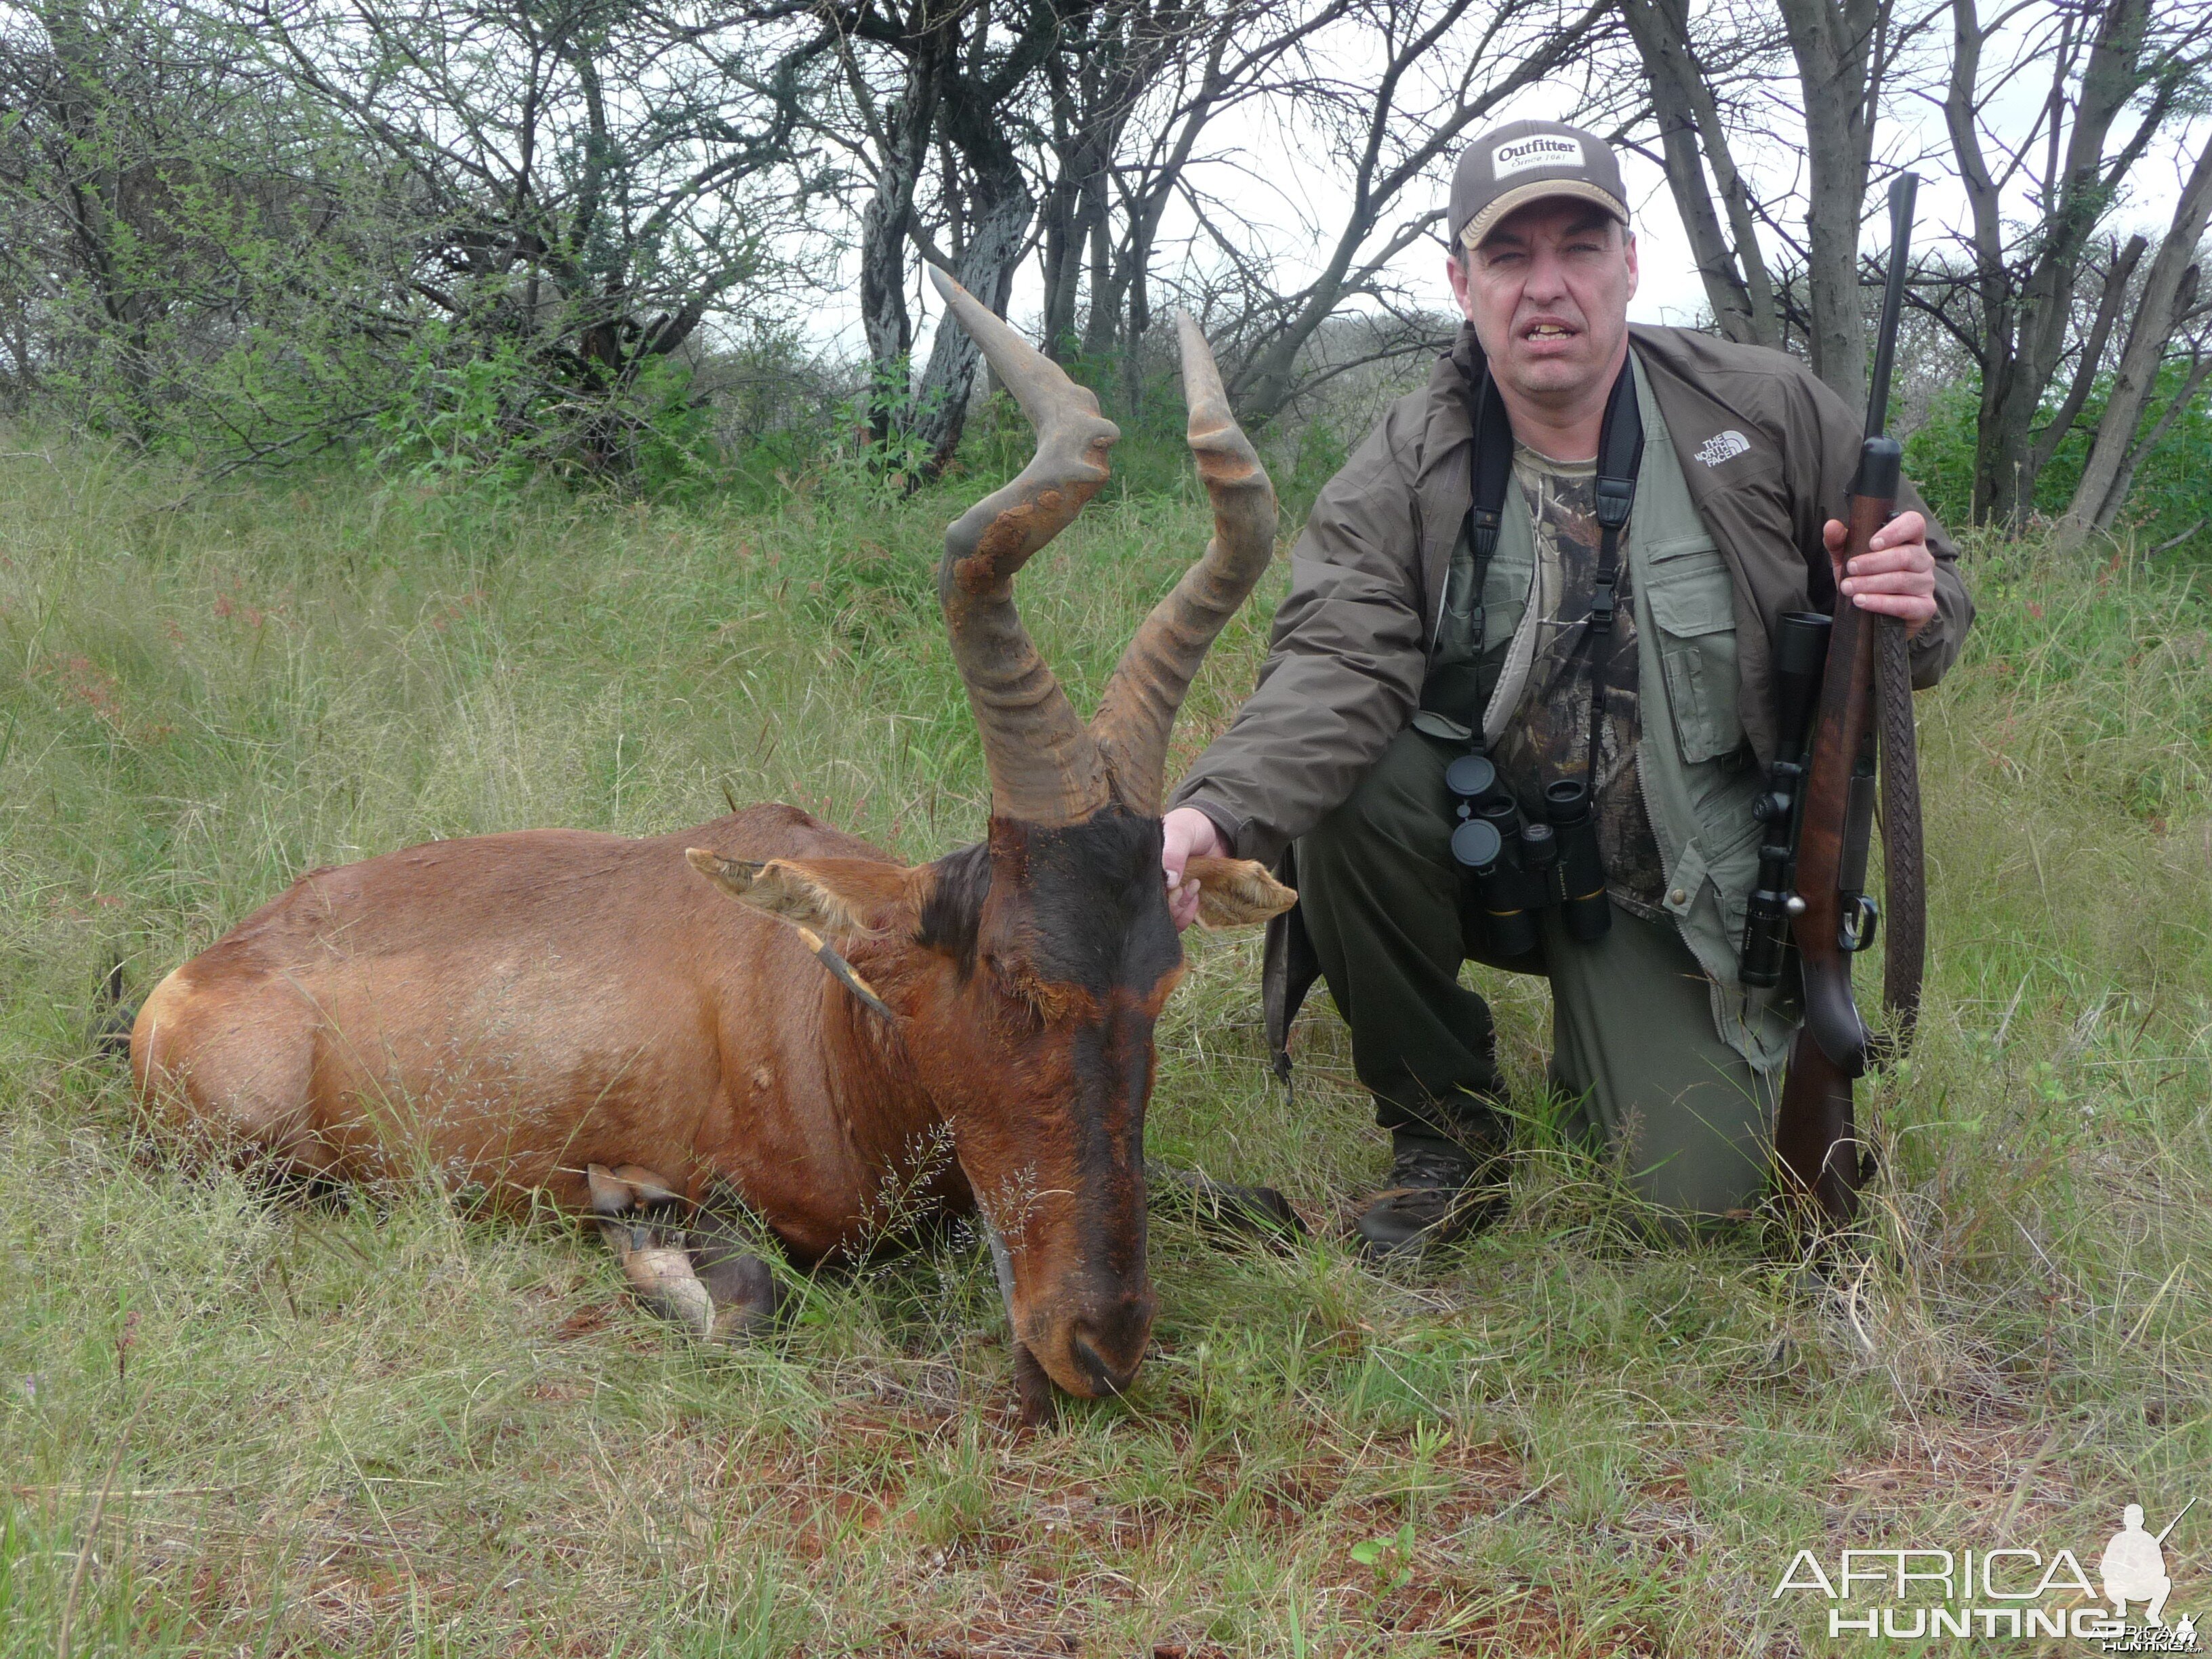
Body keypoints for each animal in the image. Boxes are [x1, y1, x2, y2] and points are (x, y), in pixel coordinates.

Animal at [125, 270, 1292, 1415]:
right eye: (1014, 977)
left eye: (1164, 978)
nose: (1099, 1346)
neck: (832, 1002)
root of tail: (200, 966)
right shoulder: (722, 1199)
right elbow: (742, 1312)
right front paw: (637, 1236)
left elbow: (1276, 1202)